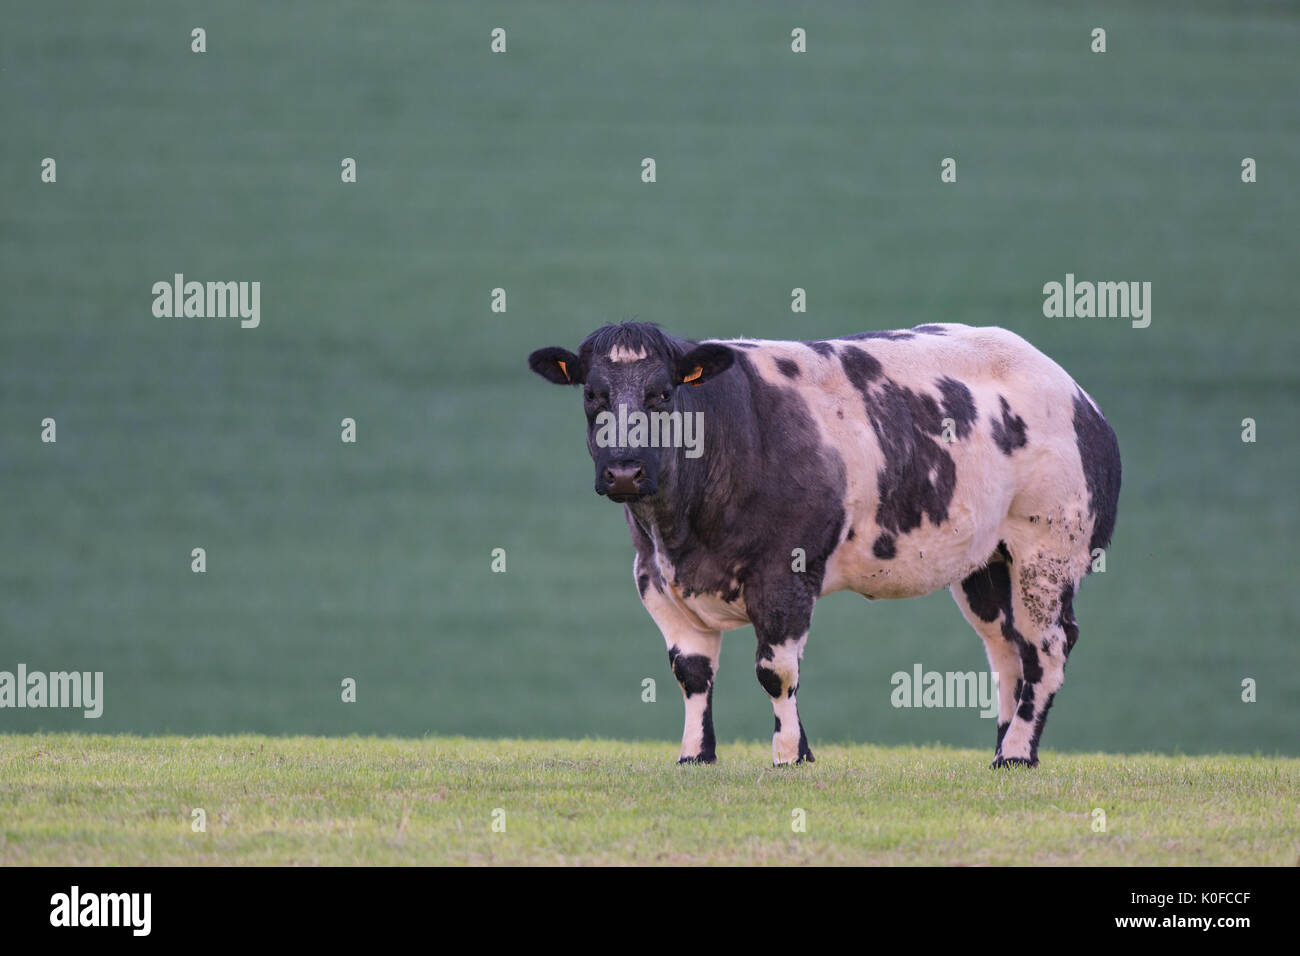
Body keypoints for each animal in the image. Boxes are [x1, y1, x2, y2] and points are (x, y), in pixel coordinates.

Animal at [527, 321, 1118, 770]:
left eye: (662, 394)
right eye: (592, 394)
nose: (625, 470)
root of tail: (1076, 393)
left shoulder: (785, 572)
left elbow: (775, 670)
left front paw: (790, 755)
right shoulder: (652, 576)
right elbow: (691, 672)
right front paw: (696, 755)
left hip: (1048, 549)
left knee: (1047, 648)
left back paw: (1016, 753)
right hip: (988, 564)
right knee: (1005, 650)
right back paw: (1006, 748)